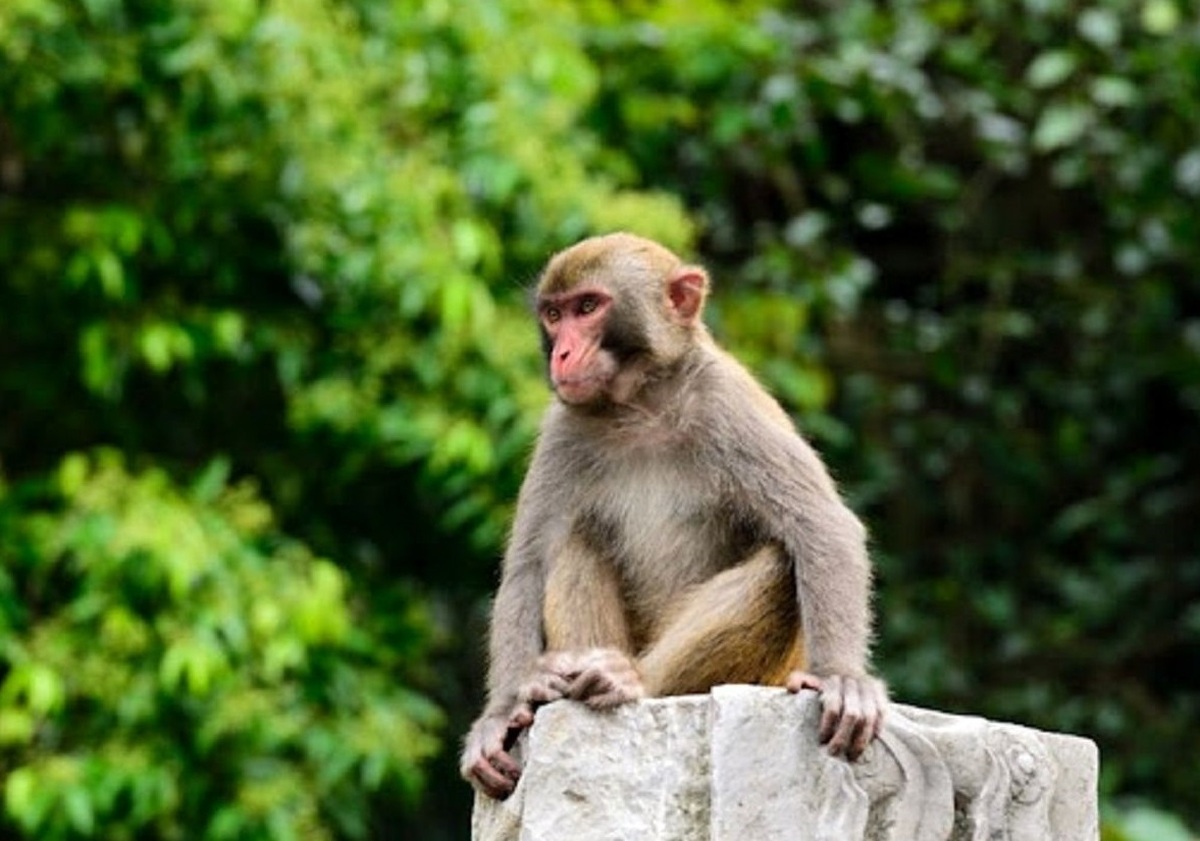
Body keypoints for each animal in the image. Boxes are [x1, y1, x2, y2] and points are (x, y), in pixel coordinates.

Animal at [463, 231, 888, 801]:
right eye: (553, 314)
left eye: (588, 307)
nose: (562, 352)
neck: (641, 403)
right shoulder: (563, 430)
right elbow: (527, 569)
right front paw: (503, 711)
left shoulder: (726, 404)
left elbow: (821, 528)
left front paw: (843, 677)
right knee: (572, 544)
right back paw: (568, 679)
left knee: (780, 563)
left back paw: (632, 681)